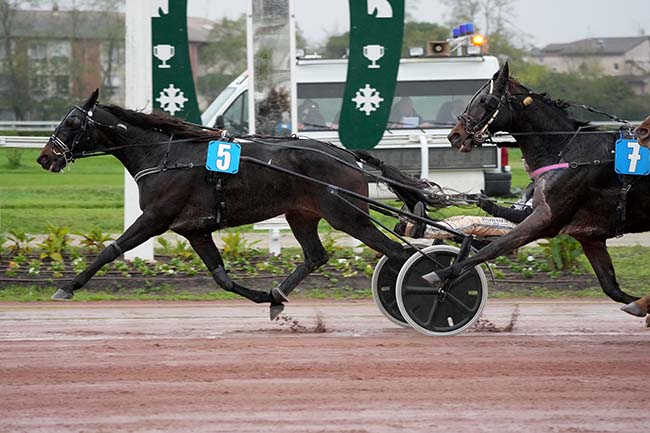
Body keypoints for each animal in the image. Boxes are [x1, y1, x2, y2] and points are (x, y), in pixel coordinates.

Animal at [38, 90, 436, 318]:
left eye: (71, 122)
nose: (45, 158)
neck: (165, 156)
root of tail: (346, 156)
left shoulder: (156, 217)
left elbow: (111, 249)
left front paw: (68, 286)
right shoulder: (195, 230)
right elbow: (222, 278)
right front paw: (265, 296)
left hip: (348, 216)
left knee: (401, 254)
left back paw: (434, 284)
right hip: (302, 214)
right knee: (316, 256)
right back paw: (278, 293)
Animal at [428, 63, 648, 320]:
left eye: (485, 100)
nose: (455, 135)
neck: (567, 150)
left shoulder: (547, 219)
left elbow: (496, 246)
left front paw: (439, 276)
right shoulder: (589, 236)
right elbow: (611, 288)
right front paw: (640, 304)